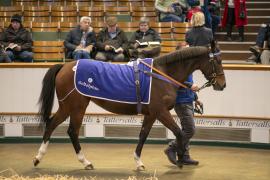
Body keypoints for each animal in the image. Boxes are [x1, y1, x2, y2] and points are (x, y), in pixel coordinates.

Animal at [32, 41, 226, 171]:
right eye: (217, 61)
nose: (222, 85)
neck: (161, 74)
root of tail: (65, 66)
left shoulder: (151, 114)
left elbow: (143, 136)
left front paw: (139, 162)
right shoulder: (161, 112)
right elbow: (178, 132)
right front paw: (178, 159)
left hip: (70, 107)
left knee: (57, 126)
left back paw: (44, 158)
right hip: (75, 106)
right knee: (67, 129)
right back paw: (73, 160)